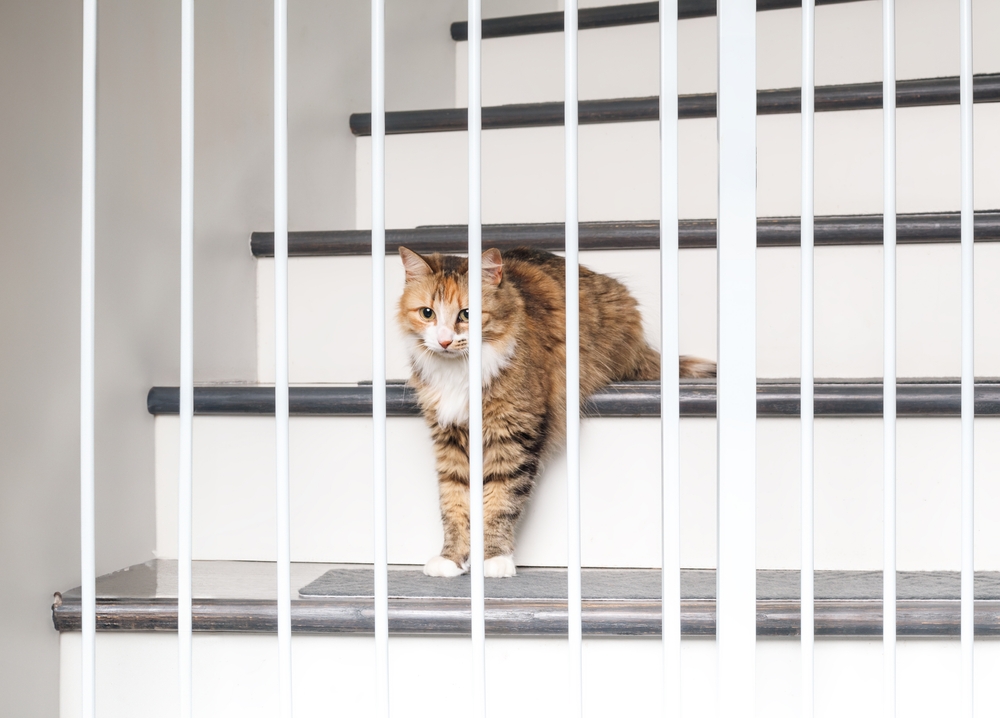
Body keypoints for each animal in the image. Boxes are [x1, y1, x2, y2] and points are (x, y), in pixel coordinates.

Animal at [394, 248, 716, 580]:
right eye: (427, 313)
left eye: (467, 314)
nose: (444, 341)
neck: (458, 372)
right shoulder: (450, 437)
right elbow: (454, 502)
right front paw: (451, 559)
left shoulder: (513, 432)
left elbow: (500, 500)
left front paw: (494, 559)